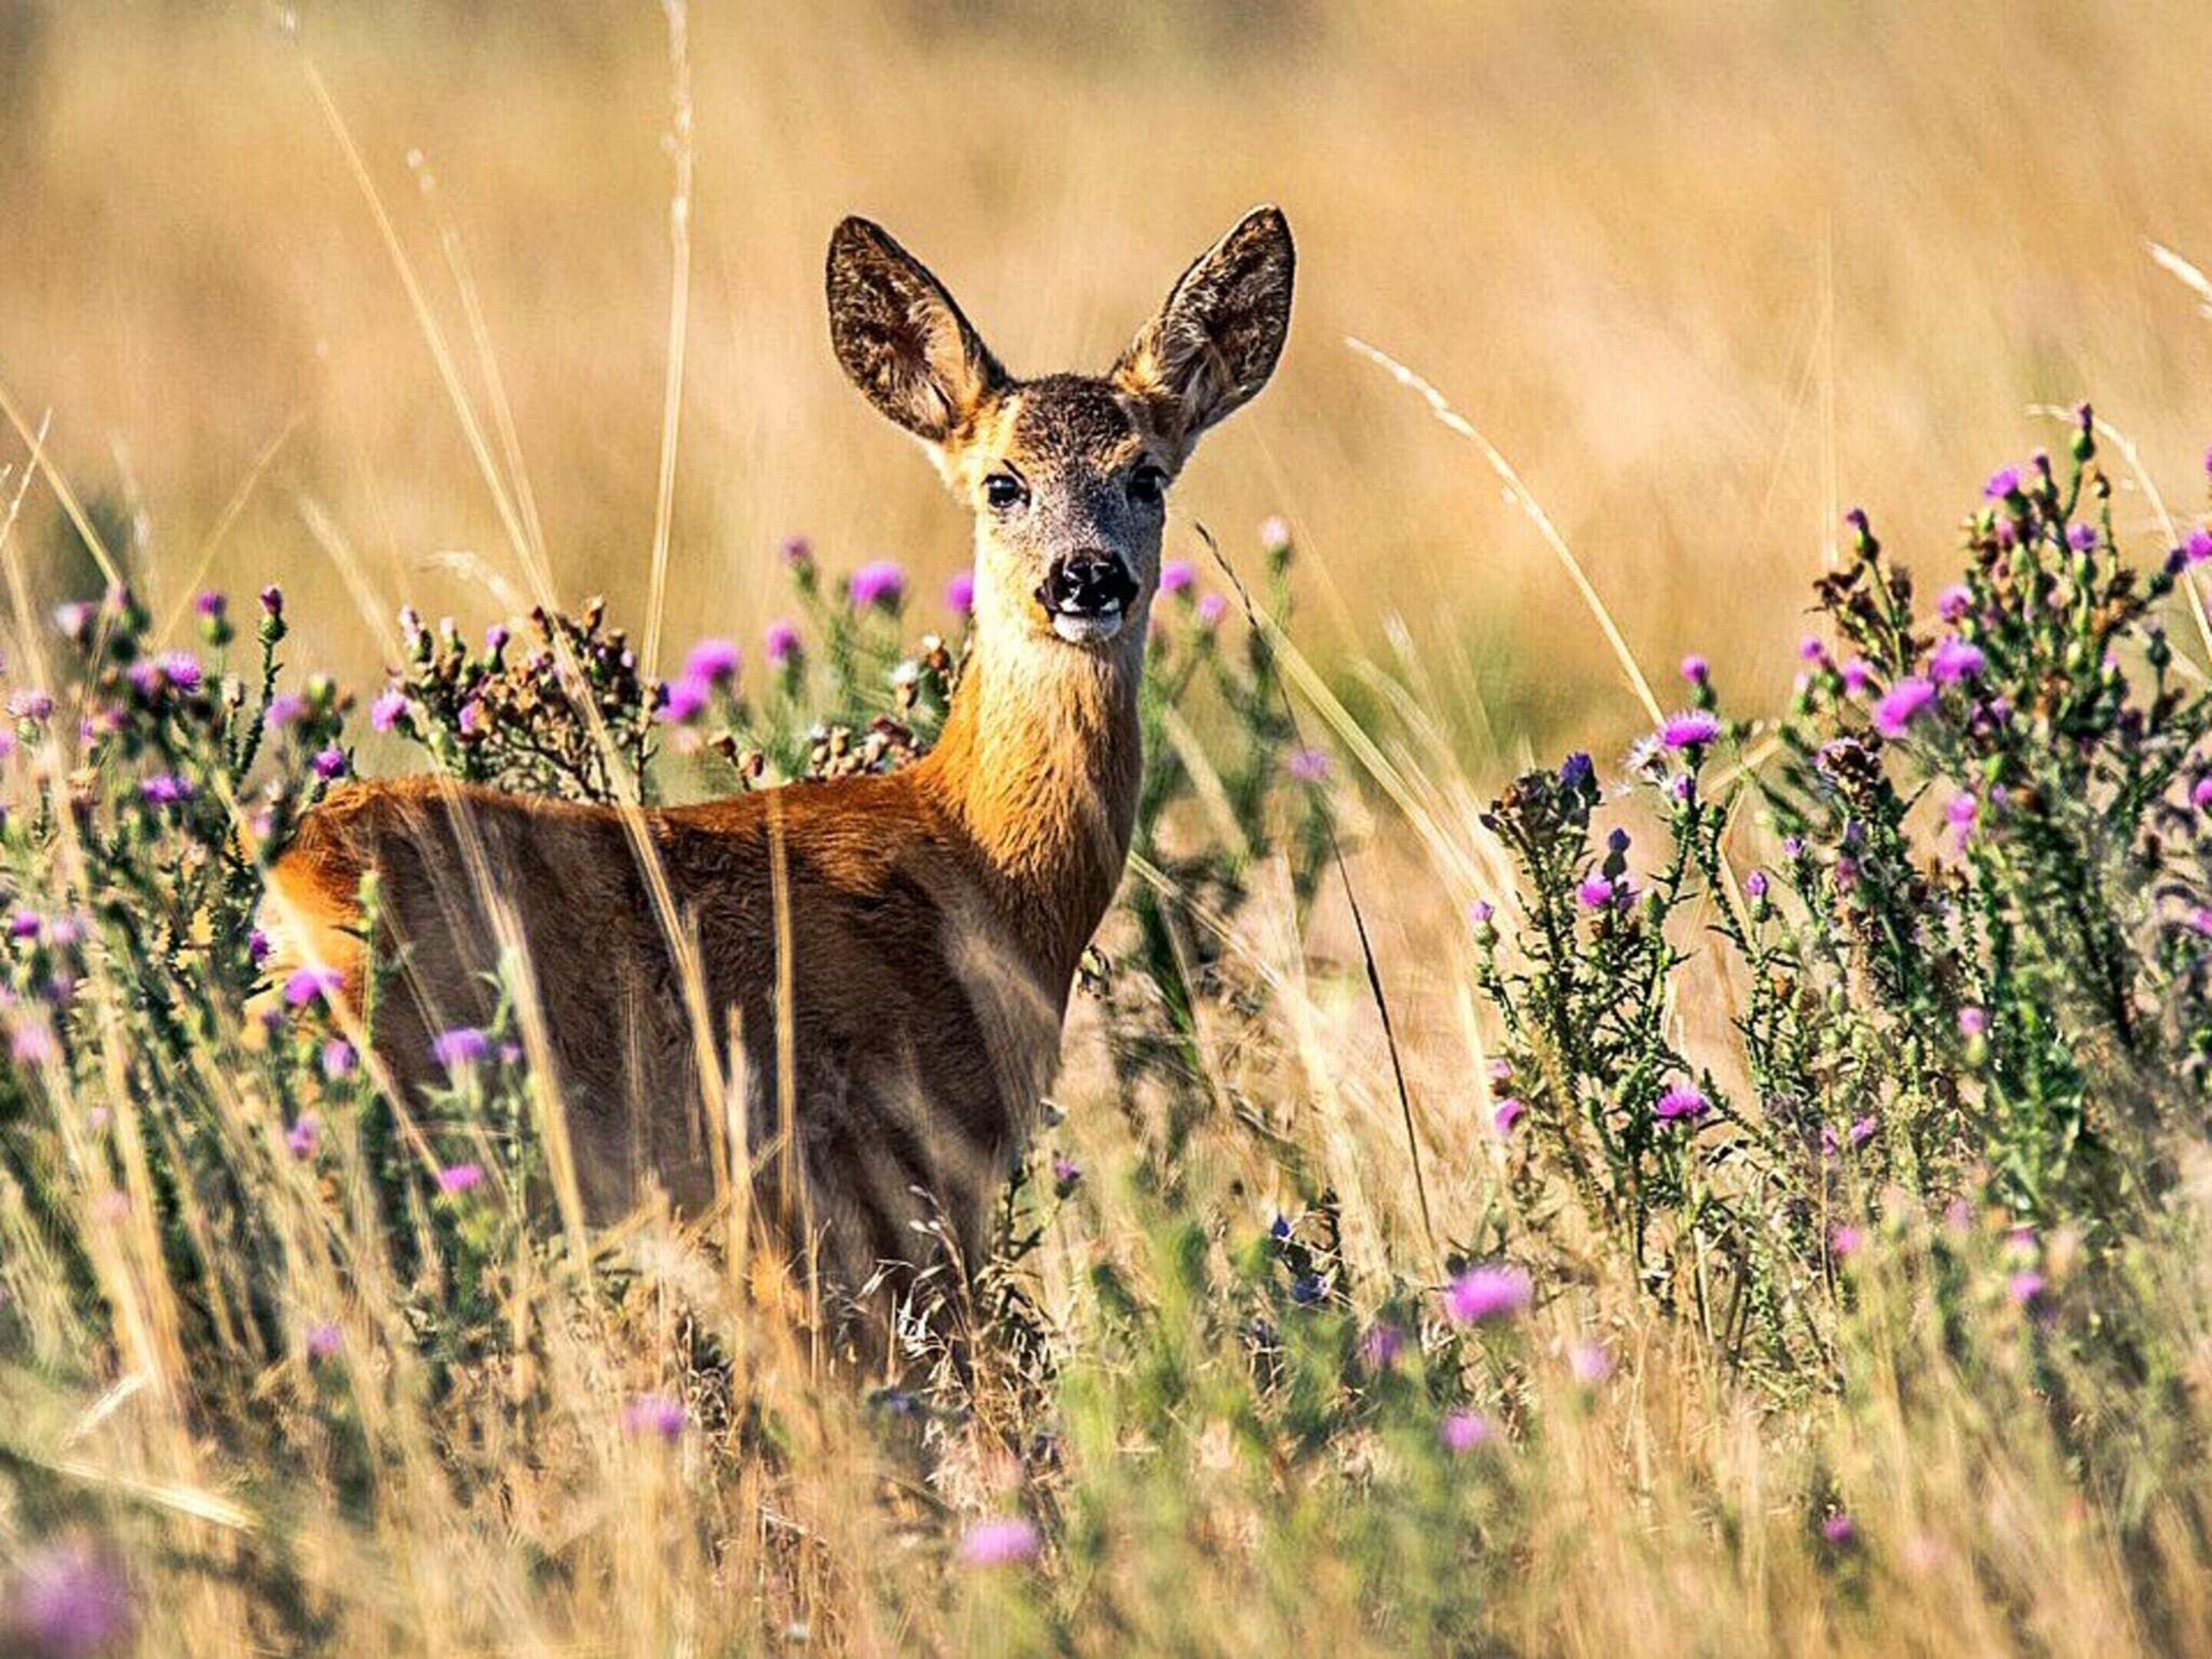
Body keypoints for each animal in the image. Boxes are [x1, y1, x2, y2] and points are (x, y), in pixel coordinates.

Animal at [263, 206, 1295, 1347]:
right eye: (1003, 483)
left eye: (1148, 475)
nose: (1086, 577)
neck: (982, 868)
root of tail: (294, 875)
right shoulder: (874, 1170)